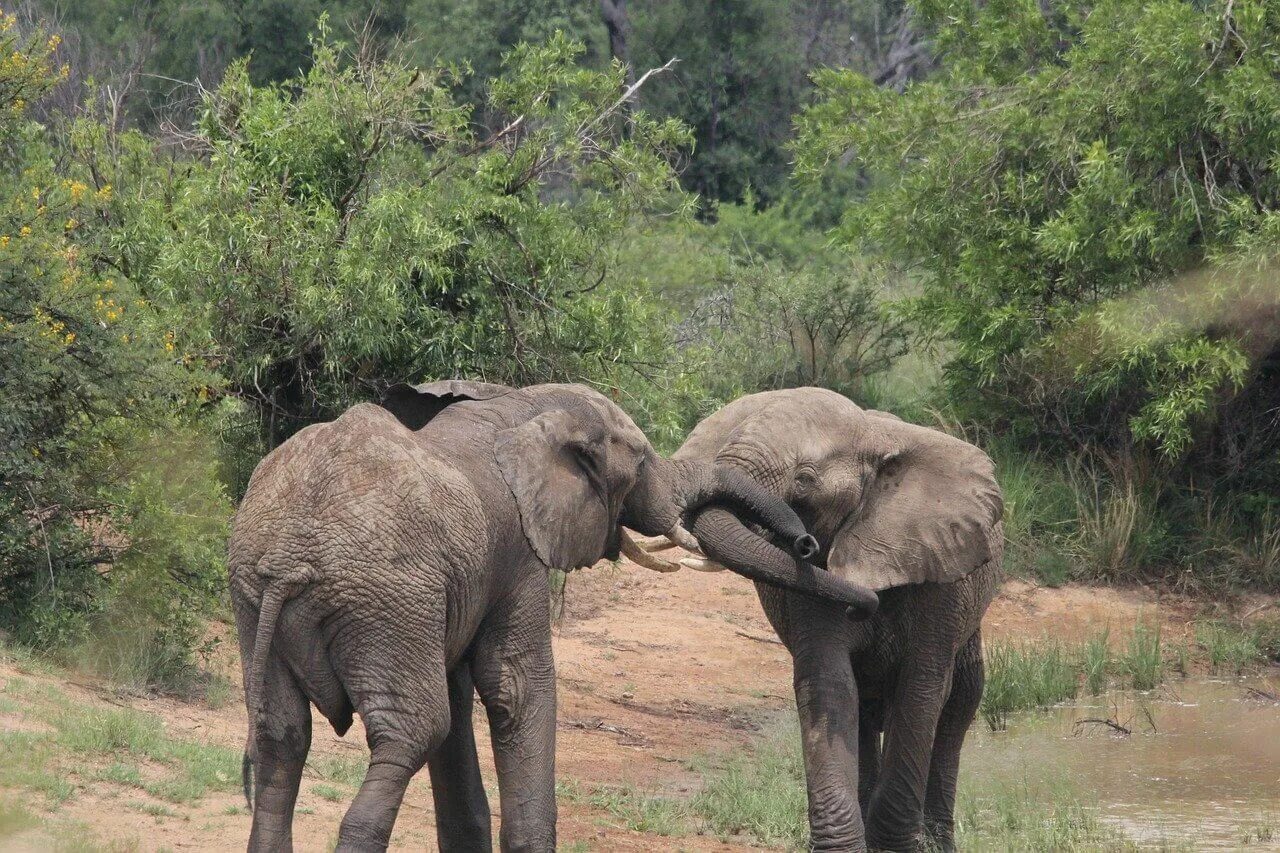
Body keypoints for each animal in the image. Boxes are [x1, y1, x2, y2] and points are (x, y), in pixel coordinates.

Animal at [227, 379, 880, 850]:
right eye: (641, 464)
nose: (809, 546)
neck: (524, 404)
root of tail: (289, 559)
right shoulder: (518, 549)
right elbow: (515, 688)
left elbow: (466, 692)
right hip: (380, 599)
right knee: (412, 730)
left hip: (257, 596)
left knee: (283, 735)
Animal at [675, 386, 1003, 850]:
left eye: (805, 479)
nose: (804, 543)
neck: (873, 437)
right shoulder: (809, 583)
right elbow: (829, 684)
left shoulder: (940, 579)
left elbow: (920, 690)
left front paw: (896, 846)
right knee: (864, 704)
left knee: (963, 697)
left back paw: (938, 841)